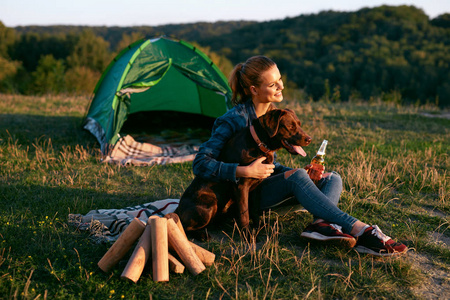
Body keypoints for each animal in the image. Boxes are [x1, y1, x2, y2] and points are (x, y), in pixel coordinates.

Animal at [174, 109, 312, 236]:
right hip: (209, 204)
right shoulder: (241, 186)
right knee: (184, 227)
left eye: (299, 124)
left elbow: (253, 209)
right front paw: (247, 234)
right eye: (290, 126)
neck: (260, 144)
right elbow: (244, 212)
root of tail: (177, 210)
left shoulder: (256, 187)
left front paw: (259, 226)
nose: (309, 139)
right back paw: (202, 235)